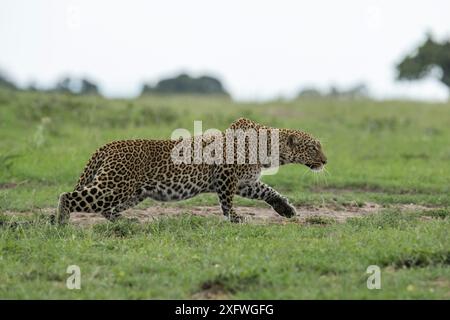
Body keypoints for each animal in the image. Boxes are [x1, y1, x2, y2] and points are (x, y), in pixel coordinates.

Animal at [55, 116, 326, 224]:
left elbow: (269, 191)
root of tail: (108, 145)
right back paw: (61, 223)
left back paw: (127, 222)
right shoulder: (226, 176)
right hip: (113, 187)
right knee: (67, 197)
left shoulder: (246, 182)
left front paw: (286, 209)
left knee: (107, 210)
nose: (326, 161)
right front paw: (235, 217)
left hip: (132, 193)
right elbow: (227, 201)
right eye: (314, 148)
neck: (269, 150)